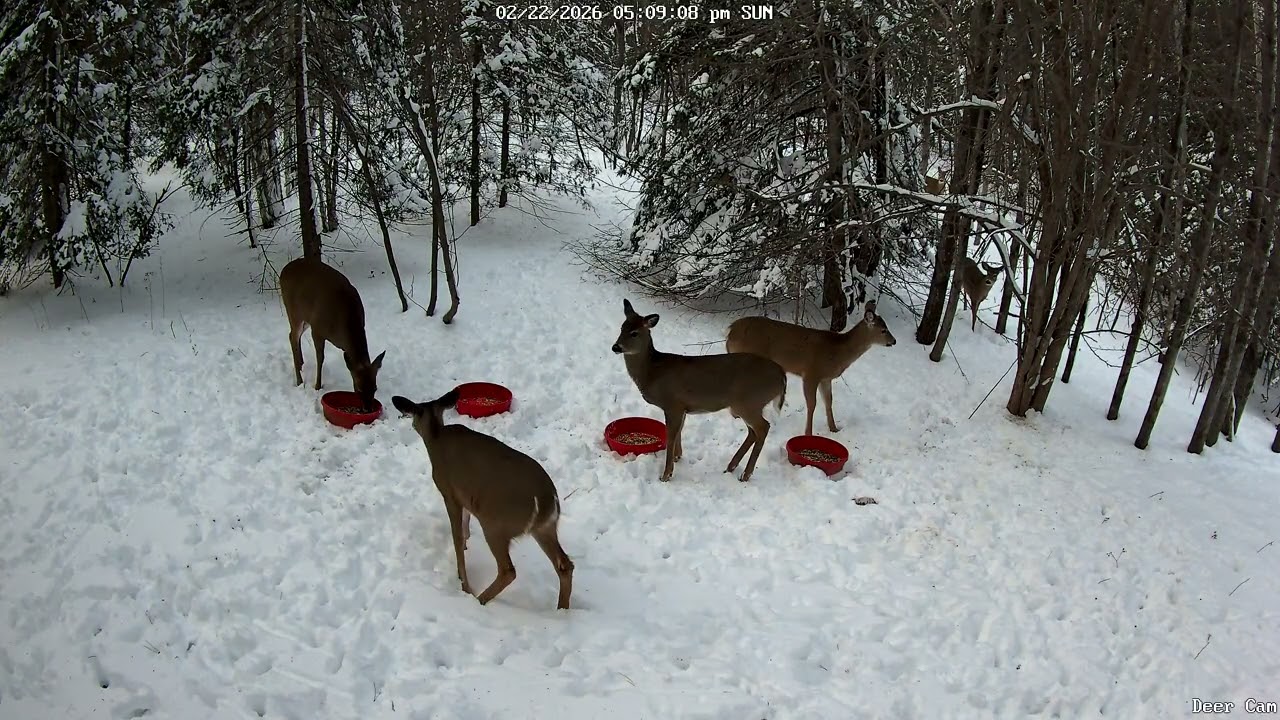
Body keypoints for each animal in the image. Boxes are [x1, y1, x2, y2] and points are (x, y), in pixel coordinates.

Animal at [279, 258, 386, 411]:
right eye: (358, 389)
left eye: (375, 388)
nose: (368, 409)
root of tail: (284, 269)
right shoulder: (317, 328)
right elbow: (320, 358)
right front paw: (317, 386)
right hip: (293, 310)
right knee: (292, 336)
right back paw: (299, 380)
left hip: (305, 317)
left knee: (292, 335)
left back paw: (301, 363)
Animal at [392, 389, 574, 610]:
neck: (436, 437)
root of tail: (547, 502)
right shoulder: (467, 497)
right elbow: (465, 523)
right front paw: (467, 543)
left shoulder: (449, 493)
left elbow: (457, 536)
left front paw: (464, 584)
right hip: (545, 528)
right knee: (565, 565)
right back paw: (562, 609)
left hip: (496, 524)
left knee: (508, 570)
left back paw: (480, 599)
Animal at [612, 299, 787, 483]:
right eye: (622, 328)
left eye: (634, 333)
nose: (615, 347)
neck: (653, 371)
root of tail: (781, 376)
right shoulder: (682, 407)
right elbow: (679, 431)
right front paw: (677, 457)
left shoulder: (672, 404)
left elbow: (671, 435)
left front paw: (666, 474)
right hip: (746, 405)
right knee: (753, 432)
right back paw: (731, 467)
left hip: (749, 402)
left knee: (763, 428)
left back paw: (745, 475)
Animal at [726, 301, 897, 437]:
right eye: (883, 330)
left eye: (886, 327)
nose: (894, 341)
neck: (838, 353)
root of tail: (730, 333)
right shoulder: (811, 373)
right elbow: (812, 404)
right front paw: (808, 433)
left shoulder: (826, 378)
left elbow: (828, 401)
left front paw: (834, 429)